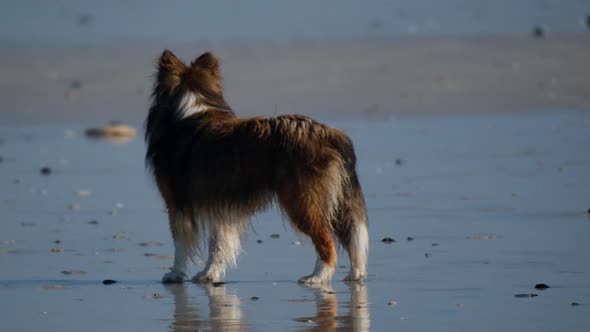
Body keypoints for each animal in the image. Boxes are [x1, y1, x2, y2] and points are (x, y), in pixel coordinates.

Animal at [147, 50, 370, 284]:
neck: (190, 108)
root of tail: (332, 135)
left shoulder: (176, 203)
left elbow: (180, 244)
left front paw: (175, 274)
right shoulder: (218, 204)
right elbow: (217, 244)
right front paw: (209, 273)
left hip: (302, 201)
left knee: (326, 241)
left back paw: (317, 277)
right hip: (336, 201)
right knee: (352, 240)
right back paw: (355, 274)